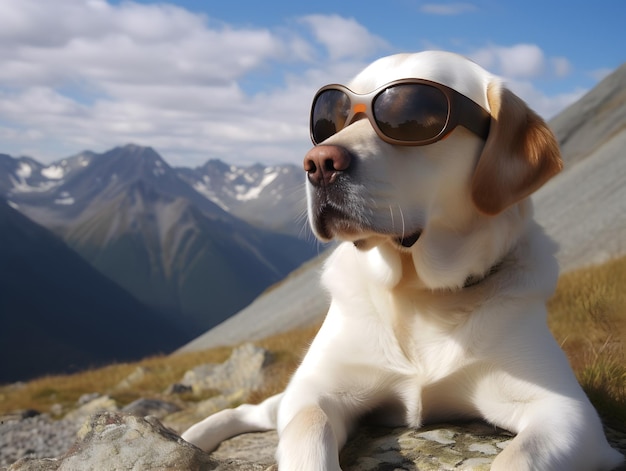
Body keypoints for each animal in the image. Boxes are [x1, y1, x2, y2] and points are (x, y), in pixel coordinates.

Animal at [183, 51, 620, 471]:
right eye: (331, 119)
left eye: (413, 117)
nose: (318, 162)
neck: (417, 293)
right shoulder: (314, 391)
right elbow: (310, 426)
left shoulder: (567, 410)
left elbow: (518, 457)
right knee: (249, 409)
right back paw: (193, 436)